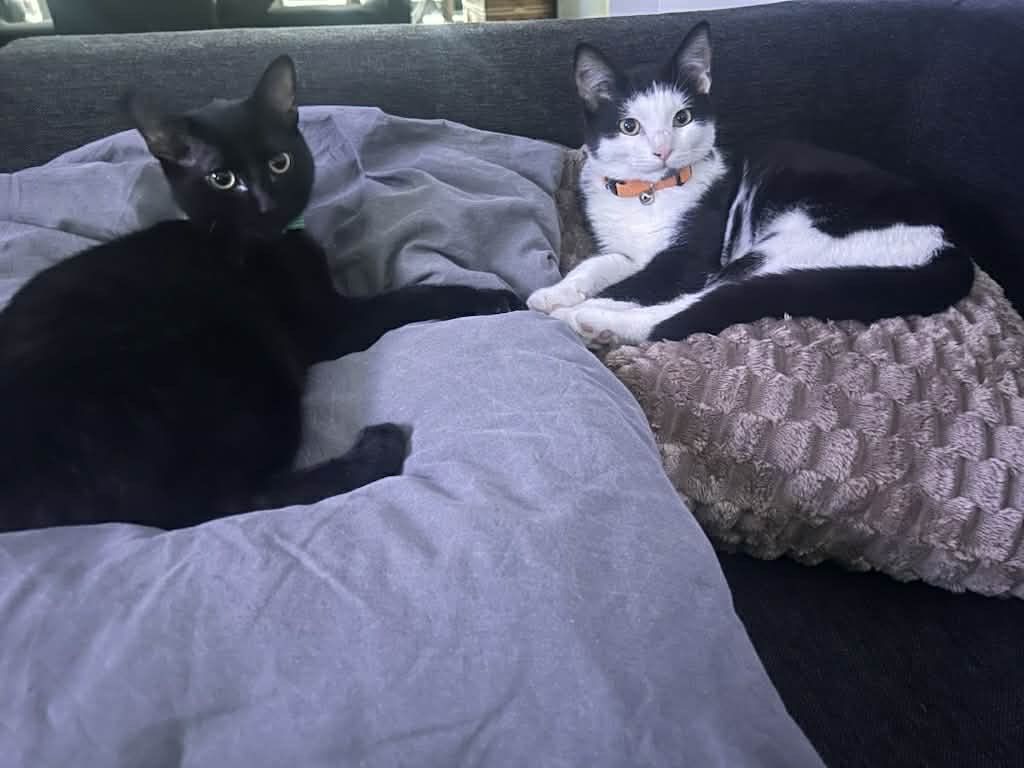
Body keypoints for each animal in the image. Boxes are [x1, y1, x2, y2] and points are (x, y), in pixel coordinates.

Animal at [0, 55, 521, 533]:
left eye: (279, 163)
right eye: (222, 179)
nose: (267, 204)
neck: (258, 242)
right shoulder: (330, 326)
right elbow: (410, 298)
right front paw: (491, 297)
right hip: (244, 365)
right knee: (227, 504)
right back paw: (378, 447)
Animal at [528, 22, 975, 347]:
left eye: (682, 118)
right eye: (629, 126)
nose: (663, 150)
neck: (649, 194)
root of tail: (951, 247)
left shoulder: (688, 258)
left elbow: (637, 286)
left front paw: (568, 307)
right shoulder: (629, 252)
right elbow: (600, 264)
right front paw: (558, 291)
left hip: (797, 243)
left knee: (696, 303)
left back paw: (591, 322)